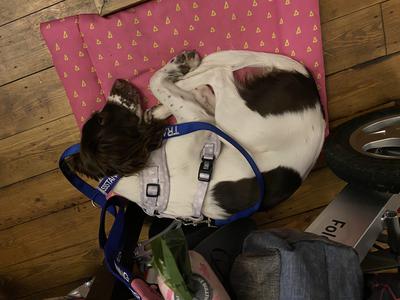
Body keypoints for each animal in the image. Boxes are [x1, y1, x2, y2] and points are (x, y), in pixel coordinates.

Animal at [69, 49, 324, 220]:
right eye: (101, 120)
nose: (117, 82)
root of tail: (307, 84)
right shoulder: (201, 123)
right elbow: (157, 83)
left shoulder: (196, 120)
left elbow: (163, 89)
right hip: (233, 118)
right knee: (218, 75)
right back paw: (189, 76)